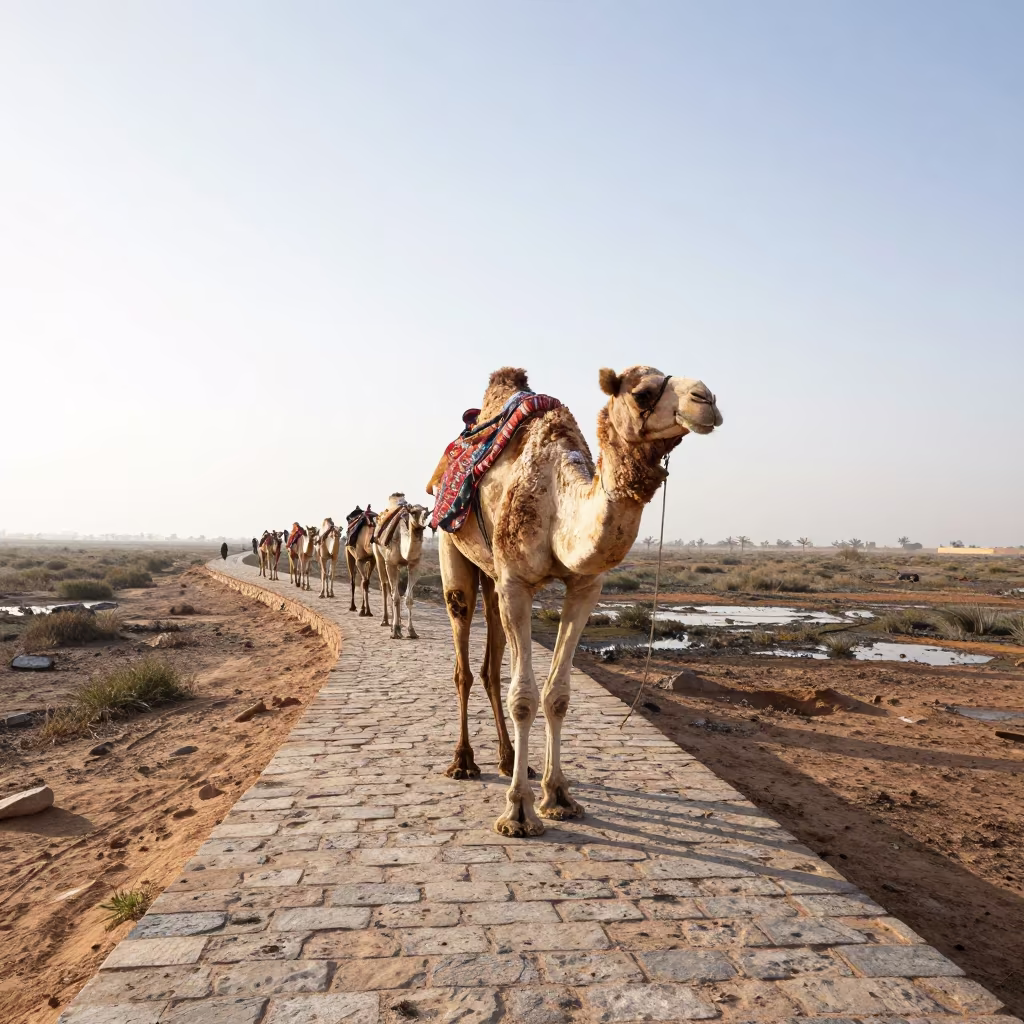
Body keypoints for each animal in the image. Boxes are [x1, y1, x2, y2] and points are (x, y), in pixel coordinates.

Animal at [372, 494, 430, 639]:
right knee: (385, 586)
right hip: (379, 557)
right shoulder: (390, 563)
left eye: (426, 513)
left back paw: (398, 624)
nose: (423, 522)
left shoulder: (414, 564)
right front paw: (395, 630)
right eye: (414, 512)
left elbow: (408, 598)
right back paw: (386, 621)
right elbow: (396, 597)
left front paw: (411, 631)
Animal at [437, 366, 721, 837]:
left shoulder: (585, 586)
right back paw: (463, 763)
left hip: (492, 577)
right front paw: (518, 813)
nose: (708, 400)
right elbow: (524, 698)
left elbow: (557, 695)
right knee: (463, 666)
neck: (558, 501)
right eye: (642, 393)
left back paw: (509, 760)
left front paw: (558, 797)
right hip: (452, 552)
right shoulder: (516, 583)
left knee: (491, 667)